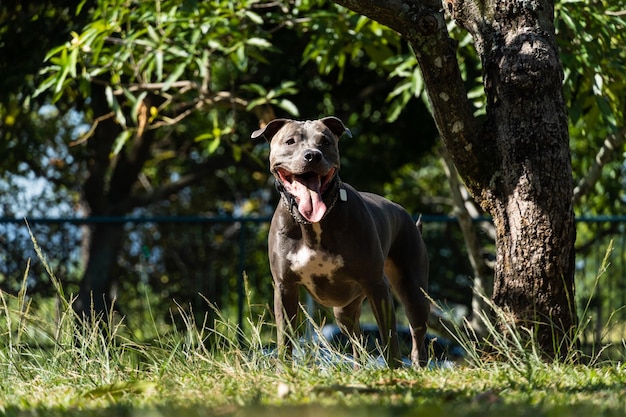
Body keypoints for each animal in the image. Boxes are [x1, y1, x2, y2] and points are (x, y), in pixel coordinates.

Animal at [251, 115, 426, 366]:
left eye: (325, 142)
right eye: (290, 141)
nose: (312, 155)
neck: (313, 223)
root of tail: (405, 215)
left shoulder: (377, 285)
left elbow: (389, 336)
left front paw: (393, 369)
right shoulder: (285, 287)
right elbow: (285, 338)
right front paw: (284, 370)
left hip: (413, 290)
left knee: (417, 334)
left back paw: (417, 367)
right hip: (344, 311)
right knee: (357, 338)